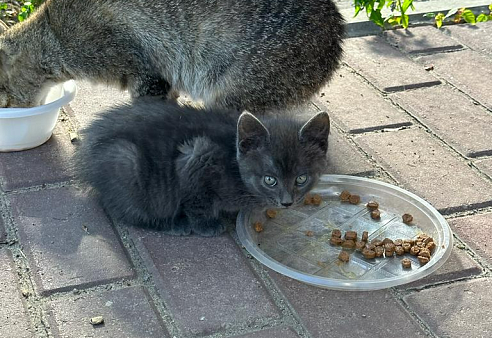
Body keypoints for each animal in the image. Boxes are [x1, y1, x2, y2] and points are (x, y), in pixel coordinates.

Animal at [74, 97, 330, 235]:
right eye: (270, 180)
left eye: (301, 178)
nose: (287, 202)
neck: (234, 163)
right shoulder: (197, 158)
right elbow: (198, 200)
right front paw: (206, 225)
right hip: (126, 161)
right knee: (126, 211)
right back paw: (174, 223)